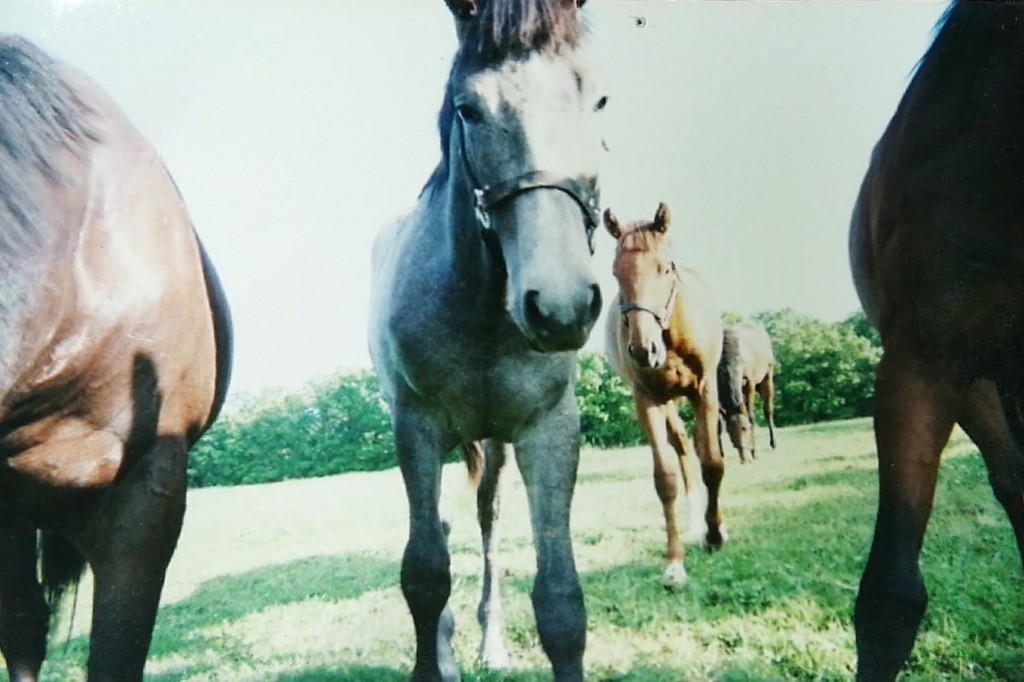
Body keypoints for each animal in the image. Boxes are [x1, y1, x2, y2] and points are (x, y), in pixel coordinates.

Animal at [367, 0, 604, 679]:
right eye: (468, 109)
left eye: (599, 99)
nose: (560, 304)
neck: (480, 313)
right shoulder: (415, 425)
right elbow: (424, 573)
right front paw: (431, 662)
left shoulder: (549, 428)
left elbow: (561, 599)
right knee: (441, 530)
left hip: (493, 444)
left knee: (486, 520)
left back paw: (487, 642)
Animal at [603, 202, 725, 589]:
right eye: (616, 273)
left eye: (666, 267)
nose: (644, 350)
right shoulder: (647, 398)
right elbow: (665, 477)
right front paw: (674, 564)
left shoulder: (705, 390)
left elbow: (712, 463)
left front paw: (715, 535)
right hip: (668, 399)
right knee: (683, 446)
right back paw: (694, 521)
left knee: (698, 448)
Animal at [717, 320, 777, 463]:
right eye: (729, 430)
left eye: (745, 428)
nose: (745, 458)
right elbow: (718, 424)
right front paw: (720, 453)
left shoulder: (750, 382)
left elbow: (751, 416)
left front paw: (754, 451)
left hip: (767, 376)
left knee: (768, 410)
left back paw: (773, 443)